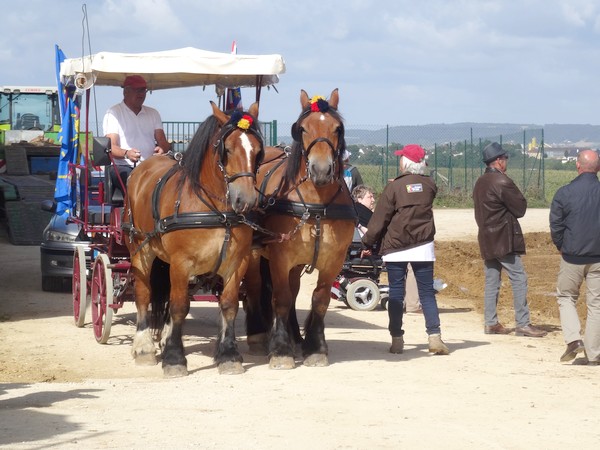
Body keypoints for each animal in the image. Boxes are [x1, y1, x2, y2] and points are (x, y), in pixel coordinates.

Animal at [123, 102, 262, 376]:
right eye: (228, 149)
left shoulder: (236, 263)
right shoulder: (181, 262)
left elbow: (229, 305)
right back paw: (144, 347)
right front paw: (175, 359)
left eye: (258, 151)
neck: (218, 211)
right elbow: (179, 306)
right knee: (143, 293)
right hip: (140, 250)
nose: (246, 200)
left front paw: (229, 355)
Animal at [243, 89, 356, 370]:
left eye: (337, 128)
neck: (316, 206)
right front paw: (281, 351)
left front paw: (315, 347)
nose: (321, 170)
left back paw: (295, 337)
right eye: (302, 128)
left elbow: (320, 299)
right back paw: (259, 336)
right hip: (253, 254)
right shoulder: (280, 258)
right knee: (256, 287)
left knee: (294, 291)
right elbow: (281, 299)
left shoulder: (333, 260)